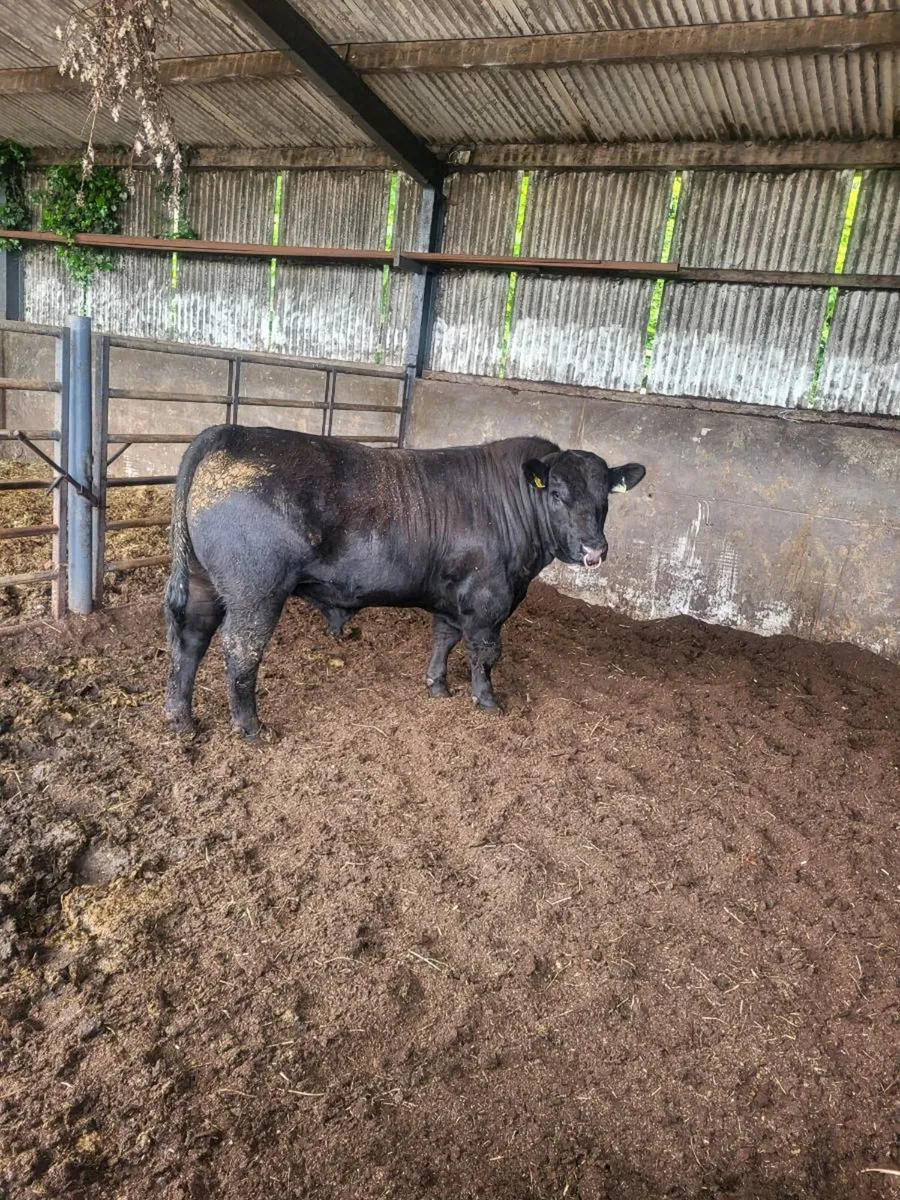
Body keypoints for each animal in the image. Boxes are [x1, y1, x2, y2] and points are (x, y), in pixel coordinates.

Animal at [163, 426, 645, 738]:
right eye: (557, 494)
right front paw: (486, 700)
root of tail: (231, 432)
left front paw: (437, 686)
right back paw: (251, 727)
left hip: (204, 582)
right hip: (256, 590)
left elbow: (445, 638)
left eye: (604, 498)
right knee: (240, 650)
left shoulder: (454, 595)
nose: (594, 549)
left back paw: (183, 721)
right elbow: (485, 652)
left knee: (190, 639)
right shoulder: (488, 598)